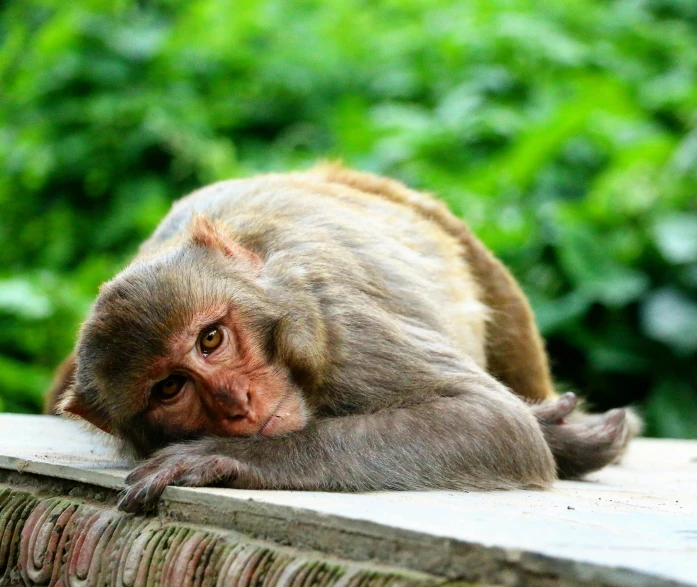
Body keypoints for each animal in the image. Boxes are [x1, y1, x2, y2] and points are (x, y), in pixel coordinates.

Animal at [47, 163, 636, 512]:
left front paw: (221, 457)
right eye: (169, 388)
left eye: (210, 339)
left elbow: (491, 421)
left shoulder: (331, 315)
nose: (237, 402)